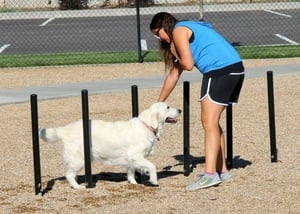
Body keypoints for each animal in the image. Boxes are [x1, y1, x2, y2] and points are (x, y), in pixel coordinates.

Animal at [39, 103, 180, 188]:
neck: (147, 125)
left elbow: (130, 171)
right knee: (69, 174)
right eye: (168, 107)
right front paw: (154, 180)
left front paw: (133, 182)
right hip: (79, 159)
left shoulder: (131, 158)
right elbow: (152, 166)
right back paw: (78, 187)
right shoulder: (135, 155)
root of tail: (65, 129)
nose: (180, 109)